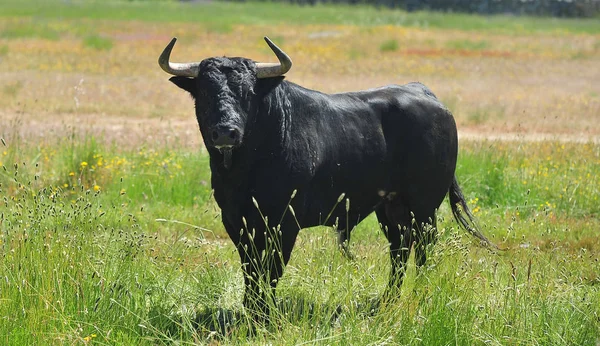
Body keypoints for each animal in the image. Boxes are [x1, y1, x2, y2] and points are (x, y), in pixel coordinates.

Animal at [158, 36, 492, 318]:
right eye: (204, 92)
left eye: (249, 92)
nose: (226, 132)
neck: (244, 170)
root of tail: (426, 94)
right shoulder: (237, 221)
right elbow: (251, 269)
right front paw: (251, 311)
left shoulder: (284, 223)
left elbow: (272, 270)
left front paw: (265, 314)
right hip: (391, 209)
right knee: (399, 250)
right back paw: (388, 301)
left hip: (424, 206)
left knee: (423, 249)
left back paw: (419, 295)